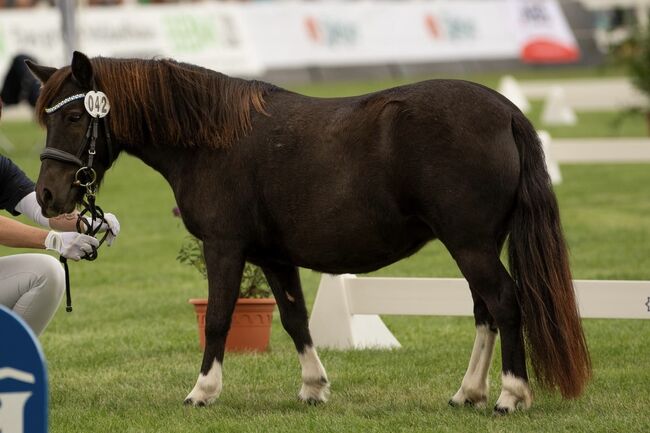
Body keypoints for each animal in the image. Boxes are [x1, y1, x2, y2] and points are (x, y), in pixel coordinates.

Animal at [27, 50, 588, 412]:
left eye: (75, 116)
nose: (48, 197)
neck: (211, 141)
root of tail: (507, 112)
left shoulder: (224, 247)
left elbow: (219, 320)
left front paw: (202, 391)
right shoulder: (274, 256)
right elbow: (295, 320)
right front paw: (314, 388)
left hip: (469, 244)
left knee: (506, 303)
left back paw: (510, 396)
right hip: (477, 244)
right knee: (484, 311)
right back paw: (467, 394)